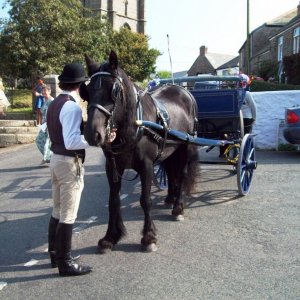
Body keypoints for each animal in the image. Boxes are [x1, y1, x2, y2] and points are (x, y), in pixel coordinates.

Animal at [81, 51, 199, 253]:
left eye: (114, 90)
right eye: (86, 91)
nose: (92, 134)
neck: (135, 125)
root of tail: (183, 90)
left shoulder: (147, 166)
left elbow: (145, 200)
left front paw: (149, 238)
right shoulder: (112, 167)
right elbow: (113, 201)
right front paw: (110, 237)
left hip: (186, 146)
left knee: (182, 174)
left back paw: (178, 208)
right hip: (169, 150)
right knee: (171, 171)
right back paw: (170, 198)